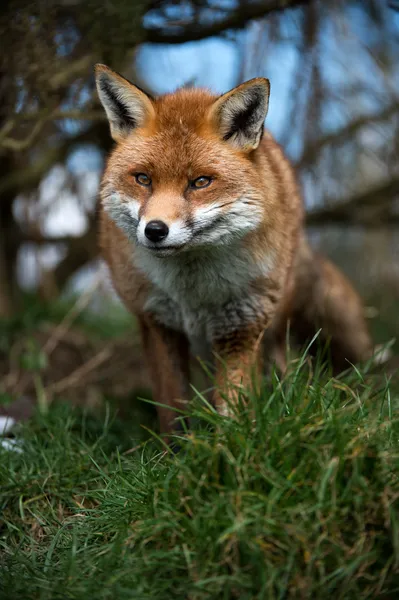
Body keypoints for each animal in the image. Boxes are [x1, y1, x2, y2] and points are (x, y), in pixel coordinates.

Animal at [94, 63, 376, 434]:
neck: (193, 292)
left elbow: (233, 409)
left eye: (200, 182)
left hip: (274, 321)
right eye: (143, 179)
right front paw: (175, 449)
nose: (155, 231)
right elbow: (173, 409)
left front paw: (229, 445)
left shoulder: (242, 325)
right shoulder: (157, 323)